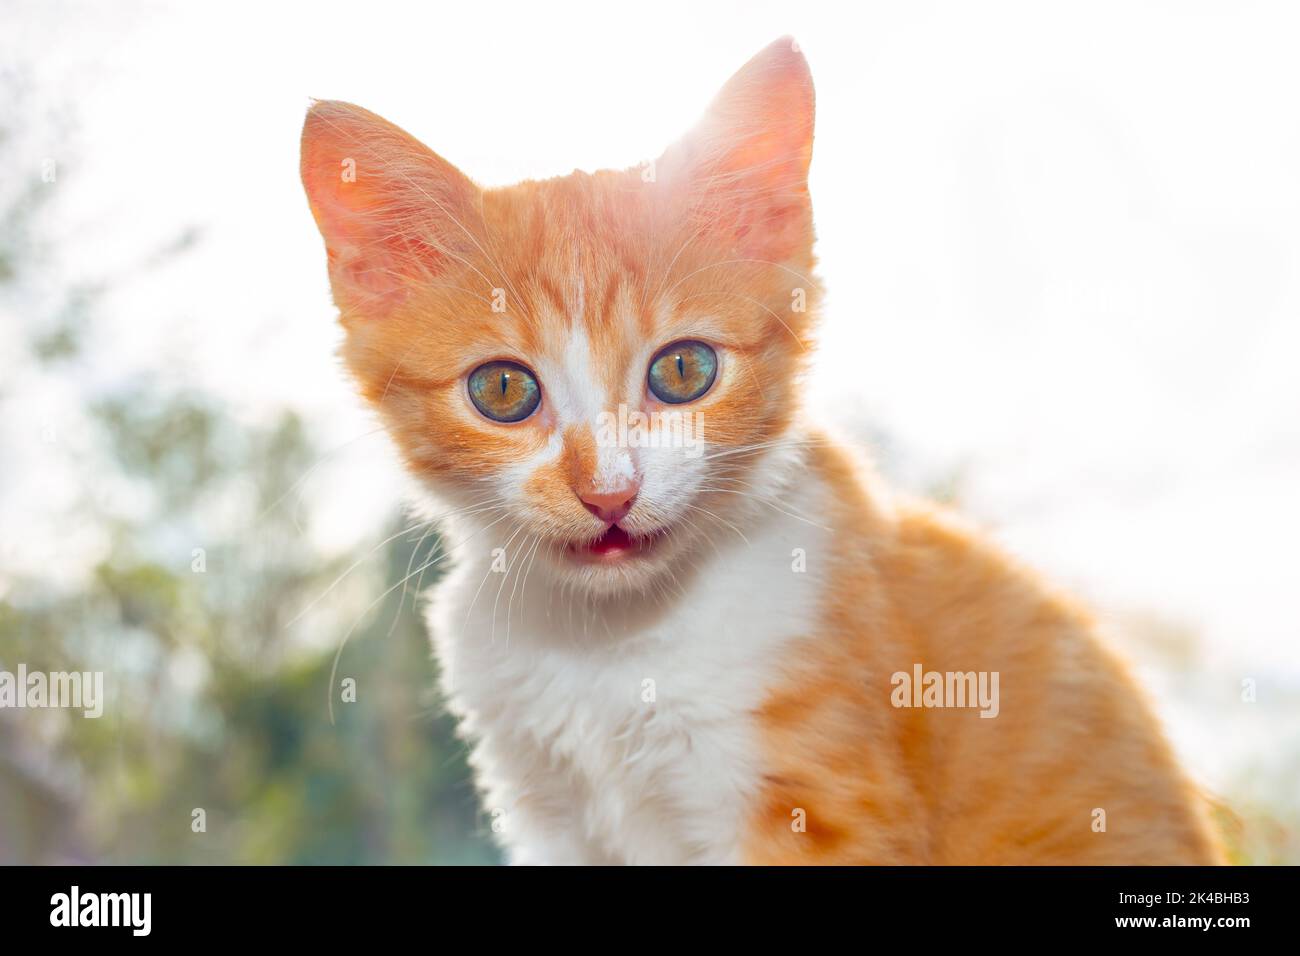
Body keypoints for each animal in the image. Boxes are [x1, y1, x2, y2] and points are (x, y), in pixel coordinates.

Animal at [299, 37, 1222, 868]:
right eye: (501, 390)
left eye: (682, 370)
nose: (609, 492)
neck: (612, 646)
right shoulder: (545, 807)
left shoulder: (826, 802)